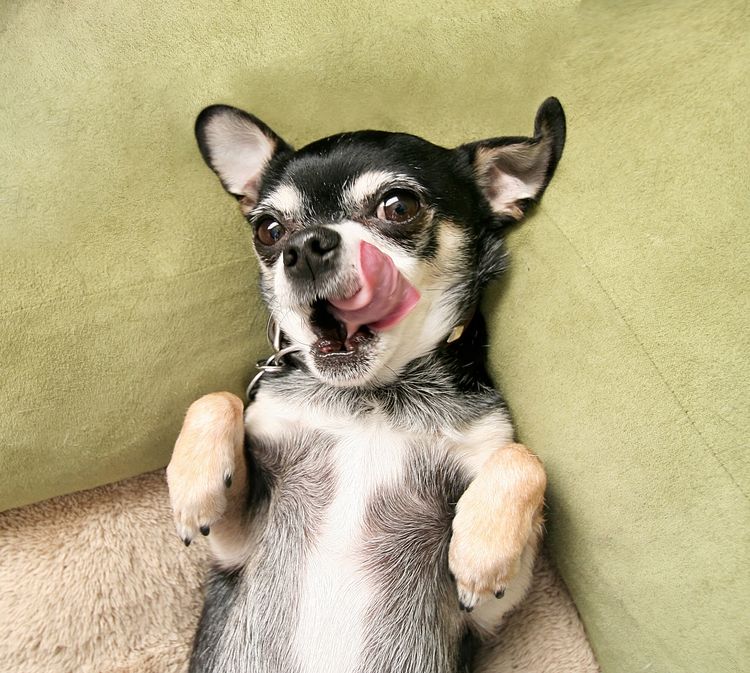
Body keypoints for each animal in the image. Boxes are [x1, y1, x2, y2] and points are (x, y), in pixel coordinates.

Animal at [167, 98, 568, 672]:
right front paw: (193, 486)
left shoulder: (484, 612)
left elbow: (523, 459)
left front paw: (482, 548)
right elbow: (216, 396)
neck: (374, 396)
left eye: (398, 207)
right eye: (268, 230)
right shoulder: (235, 542)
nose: (303, 247)